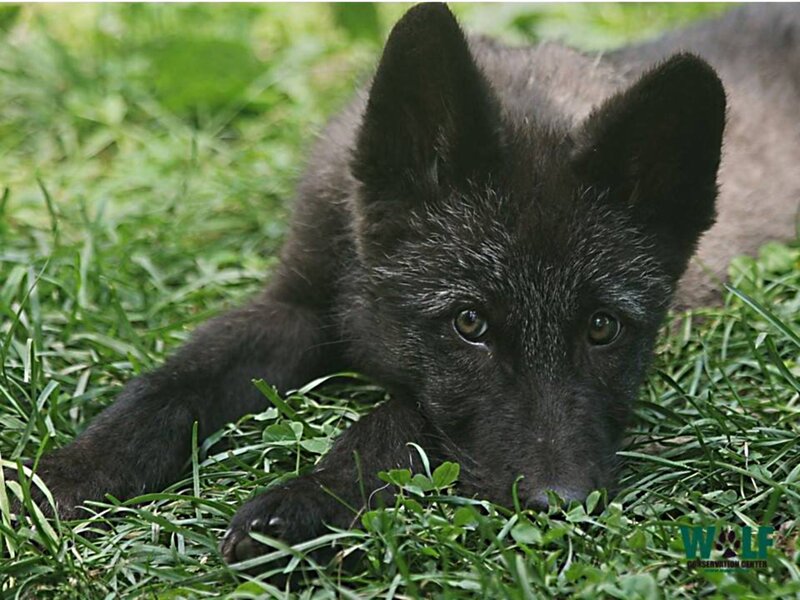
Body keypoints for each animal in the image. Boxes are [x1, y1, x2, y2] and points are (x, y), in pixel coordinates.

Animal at [7, 4, 798, 565]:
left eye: (603, 328)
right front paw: (63, 475)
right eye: (469, 324)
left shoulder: (422, 402)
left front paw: (307, 501)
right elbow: (169, 384)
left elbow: (400, 415)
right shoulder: (294, 305)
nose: (562, 504)